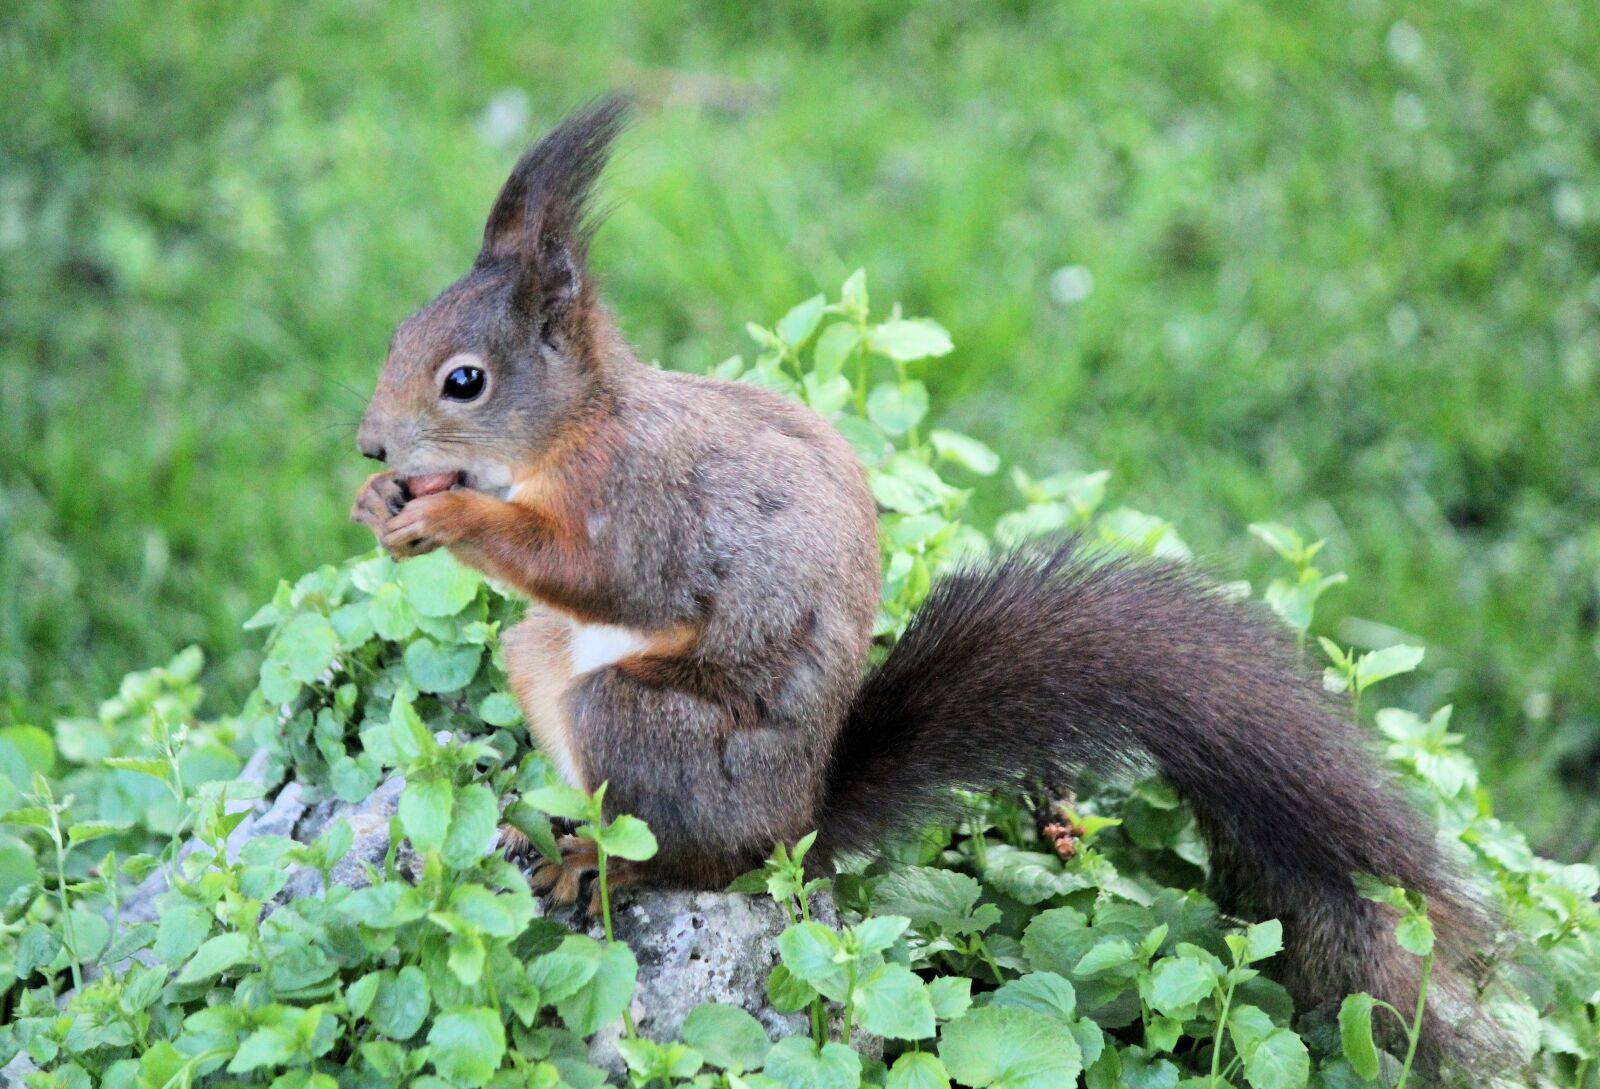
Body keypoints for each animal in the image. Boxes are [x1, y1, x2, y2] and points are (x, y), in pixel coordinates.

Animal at [351, 99, 1503, 1070]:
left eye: (465, 381)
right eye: (397, 333)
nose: (369, 446)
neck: (575, 430)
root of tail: (799, 826)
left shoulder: (640, 503)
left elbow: (606, 576)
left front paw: (447, 515)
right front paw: (383, 506)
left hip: (643, 728)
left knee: (698, 860)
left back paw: (606, 863)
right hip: (536, 659)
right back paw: (542, 831)